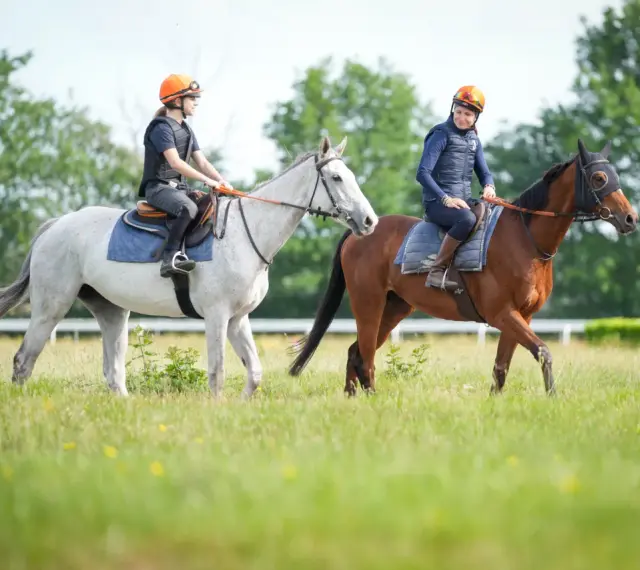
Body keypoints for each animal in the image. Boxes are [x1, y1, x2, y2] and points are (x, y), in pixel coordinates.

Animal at [0, 135, 379, 399]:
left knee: (113, 372)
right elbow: (218, 372)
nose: (369, 221)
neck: (246, 233)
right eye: (336, 178)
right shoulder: (216, 316)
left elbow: (254, 373)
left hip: (111, 311)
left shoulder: (238, 319)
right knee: (23, 361)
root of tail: (56, 225)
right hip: (51, 307)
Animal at [288, 139, 638, 396]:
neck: (526, 240)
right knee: (366, 357)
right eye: (599, 178)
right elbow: (543, 351)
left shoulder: (521, 316)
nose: (630, 218)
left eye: (616, 176)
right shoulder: (503, 314)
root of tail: (360, 231)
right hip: (368, 304)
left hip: (395, 307)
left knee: (355, 353)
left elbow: (502, 366)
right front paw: (552, 398)